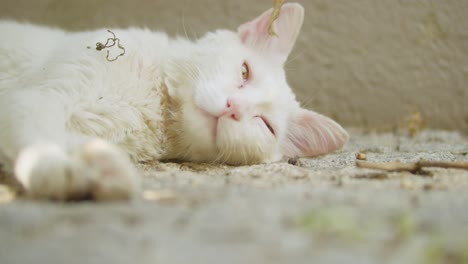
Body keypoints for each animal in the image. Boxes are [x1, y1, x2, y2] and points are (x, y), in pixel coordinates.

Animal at [0, 3, 348, 201]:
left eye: (265, 125)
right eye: (244, 71)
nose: (234, 107)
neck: (156, 105)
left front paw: (96, 168)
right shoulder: (38, 98)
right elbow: (39, 140)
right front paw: (60, 168)